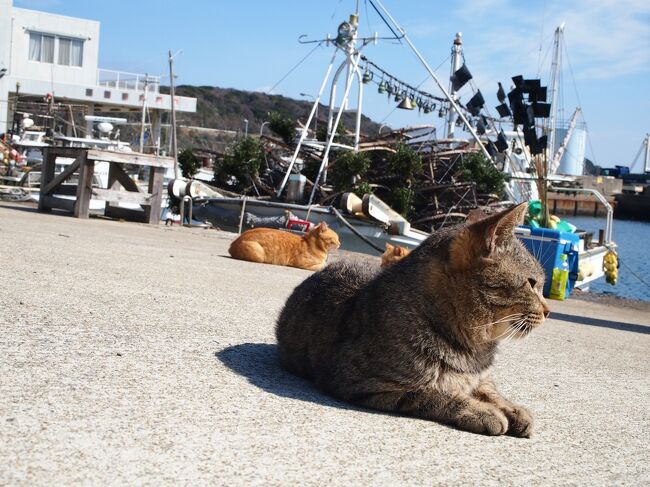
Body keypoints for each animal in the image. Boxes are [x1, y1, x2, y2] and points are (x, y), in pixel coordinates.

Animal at [274, 204, 548, 436]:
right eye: (531, 283)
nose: (547, 310)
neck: (473, 349)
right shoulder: (365, 384)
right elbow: (435, 394)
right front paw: (481, 411)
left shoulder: (481, 377)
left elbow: (491, 390)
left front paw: (514, 409)